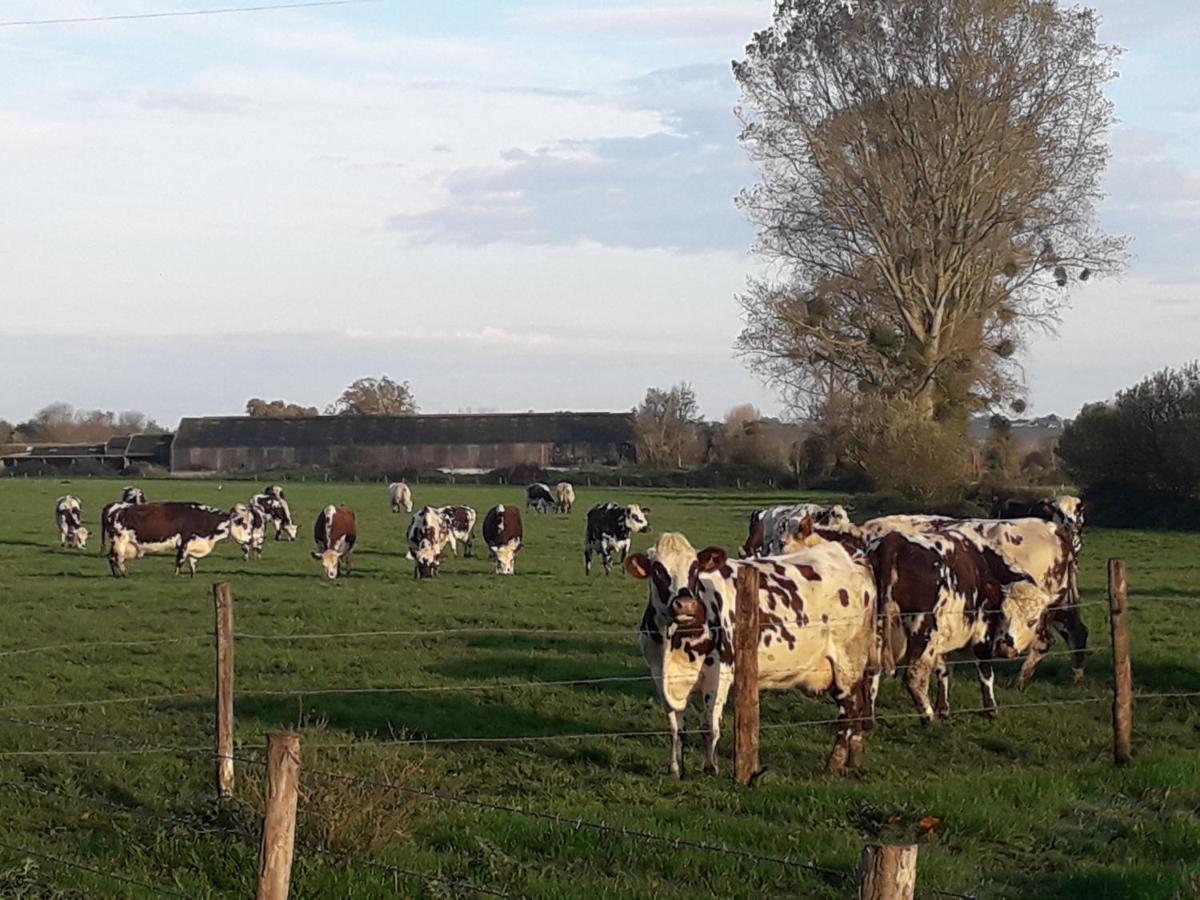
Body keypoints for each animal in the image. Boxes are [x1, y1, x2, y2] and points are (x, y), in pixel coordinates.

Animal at [105, 501, 253, 578]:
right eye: (244, 524)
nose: (251, 540)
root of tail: (115, 508)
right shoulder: (185, 542)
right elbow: (180, 560)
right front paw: (176, 575)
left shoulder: (194, 544)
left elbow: (193, 562)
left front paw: (193, 576)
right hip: (120, 542)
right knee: (117, 559)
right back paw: (125, 574)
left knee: (111, 558)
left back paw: (116, 575)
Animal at [633, 532, 878, 777]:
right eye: (657, 570)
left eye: (694, 568)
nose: (684, 605)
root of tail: (849, 553)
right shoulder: (659, 676)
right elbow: (676, 728)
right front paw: (676, 769)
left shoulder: (719, 672)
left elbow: (709, 726)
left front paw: (711, 768)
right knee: (858, 706)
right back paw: (854, 759)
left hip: (847, 660)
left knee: (849, 709)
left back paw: (834, 762)